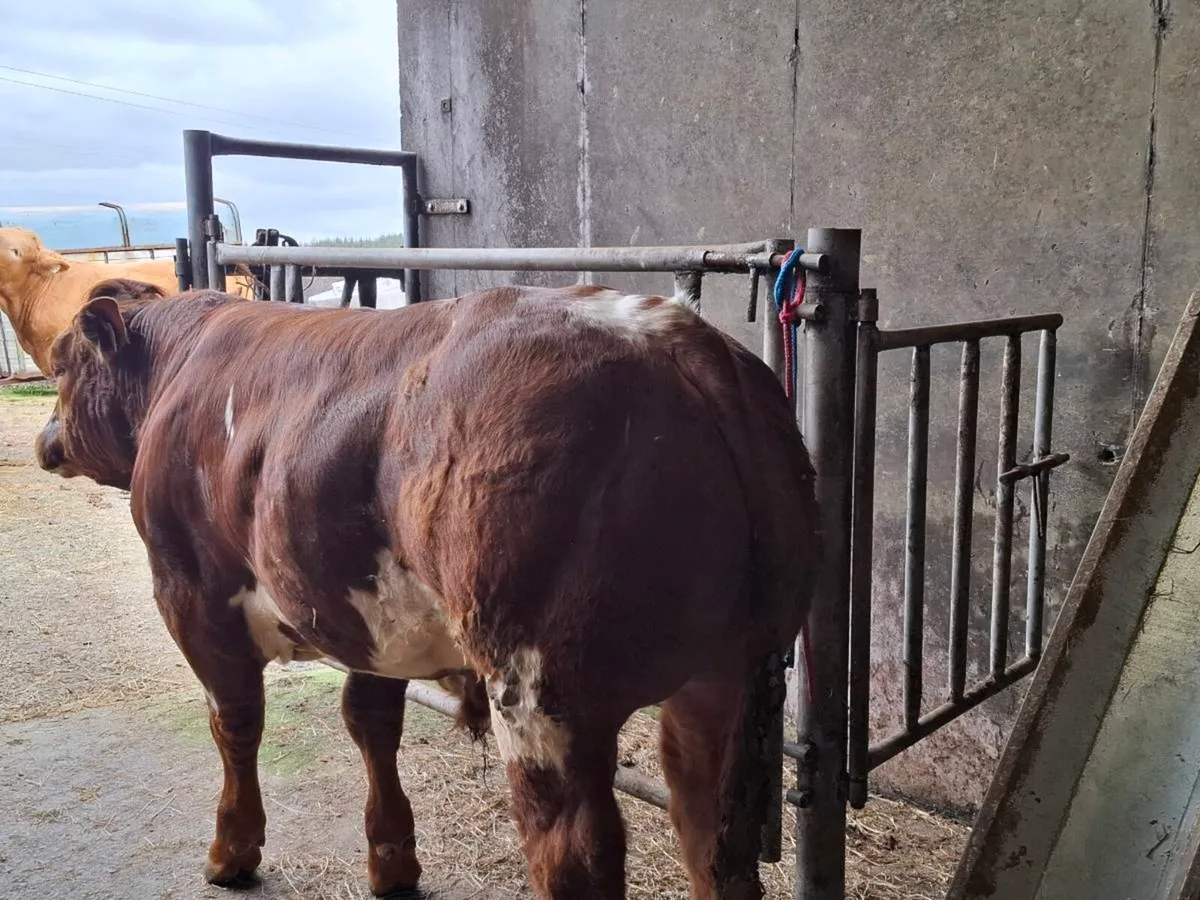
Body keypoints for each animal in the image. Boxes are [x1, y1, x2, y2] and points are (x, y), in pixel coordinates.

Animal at [34, 283, 820, 900]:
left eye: (62, 363)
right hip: (731, 671)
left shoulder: (191, 592)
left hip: (543, 691)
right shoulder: (367, 614)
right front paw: (392, 860)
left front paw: (232, 853)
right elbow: (371, 721)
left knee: (575, 853)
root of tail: (675, 338)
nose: (47, 439)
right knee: (712, 837)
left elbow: (235, 724)